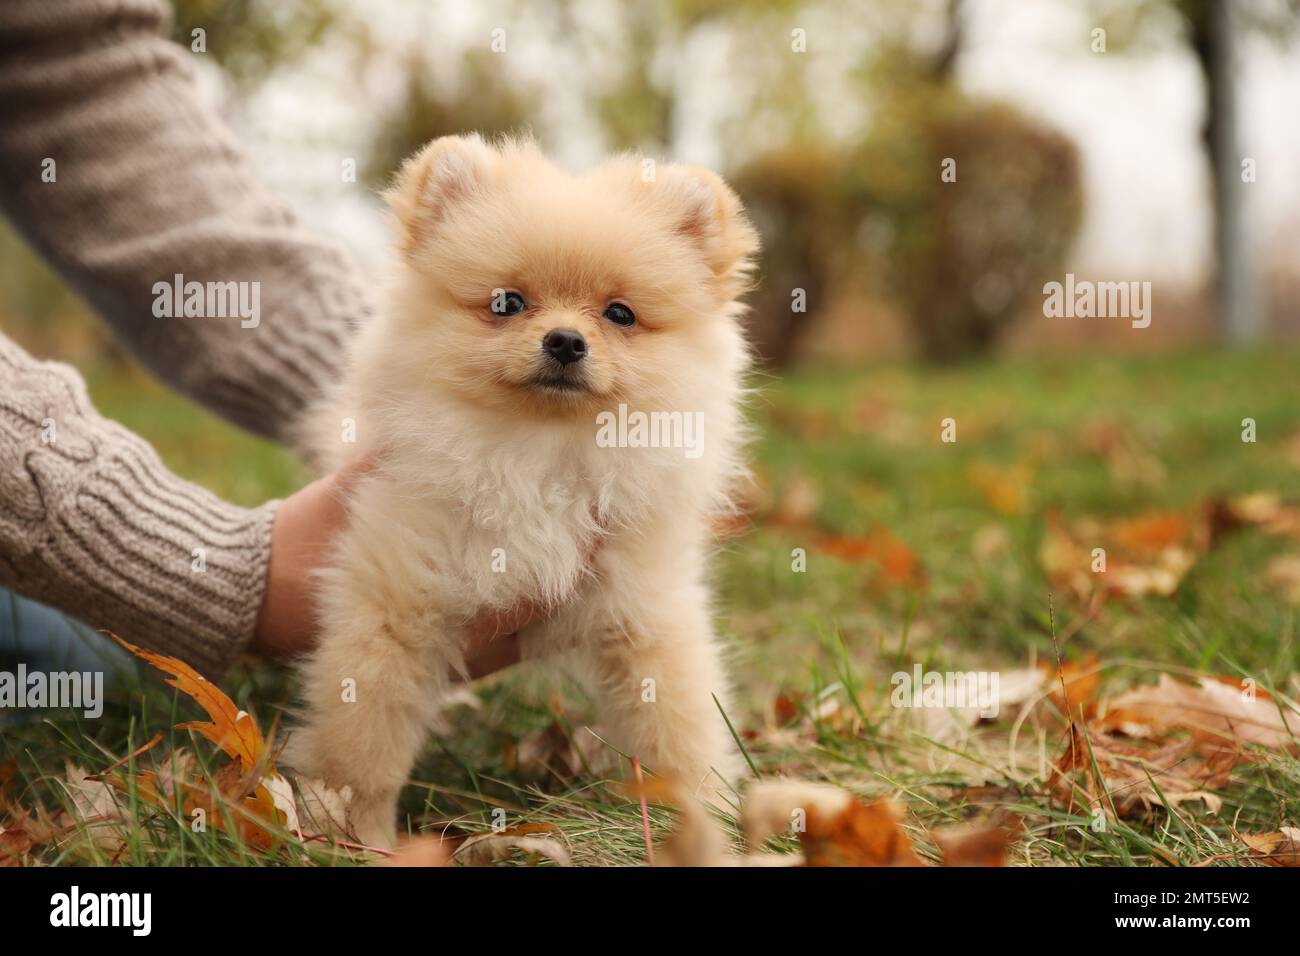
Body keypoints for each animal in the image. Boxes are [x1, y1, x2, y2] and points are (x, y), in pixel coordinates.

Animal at [282, 132, 754, 842]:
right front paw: (355, 832)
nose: (565, 340)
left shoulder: (643, 606)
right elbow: (363, 735)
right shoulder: (395, 597)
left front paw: (703, 818)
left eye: (620, 314)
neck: (540, 452)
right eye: (506, 303)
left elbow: (677, 723)